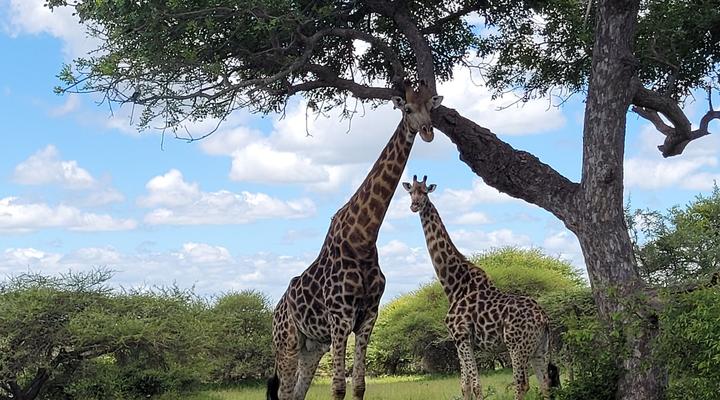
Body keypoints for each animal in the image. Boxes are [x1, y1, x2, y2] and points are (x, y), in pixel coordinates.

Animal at [267, 81, 444, 400]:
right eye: (407, 109)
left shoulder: (368, 317)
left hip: (312, 348)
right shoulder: (340, 318)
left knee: (297, 393)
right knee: (285, 393)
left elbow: (359, 385)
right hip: (286, 343)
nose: (427, 132)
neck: (362, 238)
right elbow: (338, 386)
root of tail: (275, 311)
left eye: (430, 107)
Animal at [402, 175, 560, 400]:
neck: (454, 285)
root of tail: (544, 319)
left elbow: (477, 386)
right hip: (540, 347)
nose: (414, 205)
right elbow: (465, 386)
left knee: (522, 383)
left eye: (424, 192)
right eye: (410, 192)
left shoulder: (461, 335)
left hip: (516, 346)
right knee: (545, 383)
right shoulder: (460, 340)